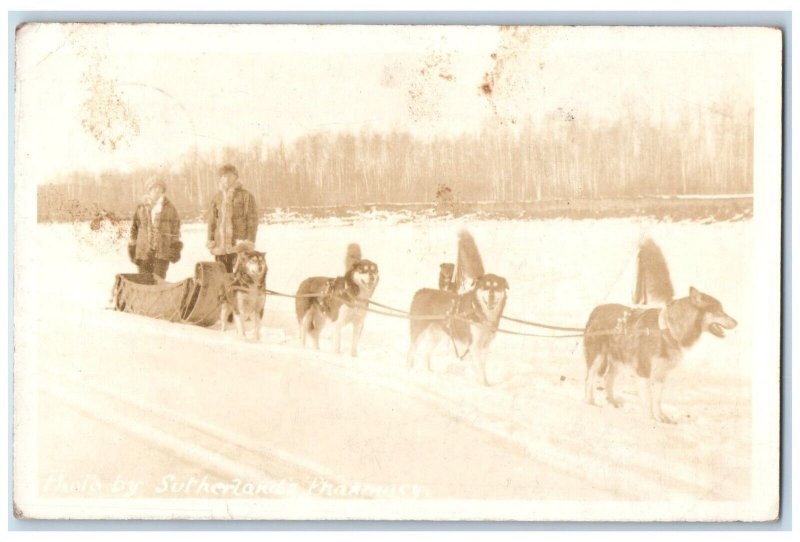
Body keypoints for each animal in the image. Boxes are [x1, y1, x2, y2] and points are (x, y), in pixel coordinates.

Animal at [580, 239, 736, 424]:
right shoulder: (643, 372)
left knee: (608, 378)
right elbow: (648, 401)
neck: (667, 330)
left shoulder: (661, 375)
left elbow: (657, 400)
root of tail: (596, 309)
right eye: (719, 311)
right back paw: (589, 402)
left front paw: (661, 418)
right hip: (597, 357)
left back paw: (612, 402)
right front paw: (650, 421)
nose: (737, 322)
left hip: (618, 358)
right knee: (589, 379)